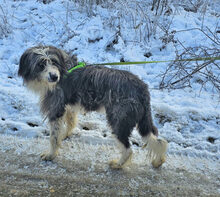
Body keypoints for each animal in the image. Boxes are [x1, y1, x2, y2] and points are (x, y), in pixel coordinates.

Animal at [18, 45, 168, 169]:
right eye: (41, 64)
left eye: (53, 62)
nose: (54, 77)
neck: (64, 69)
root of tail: (142, 88)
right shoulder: (69, 105)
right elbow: (70, 122)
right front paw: (65, 135)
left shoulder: (56, 109)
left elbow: (53, 137)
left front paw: (51, 155)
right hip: (139, 119)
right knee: (158, 140)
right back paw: (158, 161)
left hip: (118, 121)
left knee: (128, 149)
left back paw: (118, 164)